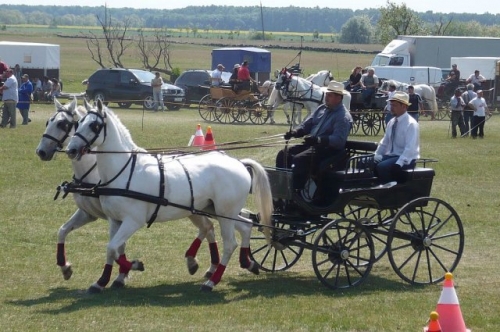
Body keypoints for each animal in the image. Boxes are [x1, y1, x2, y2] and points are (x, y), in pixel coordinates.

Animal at [34, 98, 221, 288]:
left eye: (62, 123)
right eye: (48, 121)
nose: (41, 152)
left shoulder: (120, 217)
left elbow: (116, 247)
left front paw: (122, 274)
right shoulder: (89, 213)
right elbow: (63, 231)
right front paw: (66, 268)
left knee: (209, 227)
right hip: (193, 210)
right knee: (208, 227)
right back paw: (202, 265)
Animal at [65, 100, 274, 292]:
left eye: (94, 125)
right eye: (78, 122)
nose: (71, 150)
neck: (123, 172)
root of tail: (239, 163)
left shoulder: (133, 221)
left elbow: (112, 248)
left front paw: (134, 265)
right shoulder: (115, 221)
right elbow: (112, 250)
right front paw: (101, 281)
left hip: (225, 214)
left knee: (230, 243)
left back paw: (212, 282)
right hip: (218, 211)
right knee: (246, 226)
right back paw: (248, 263)